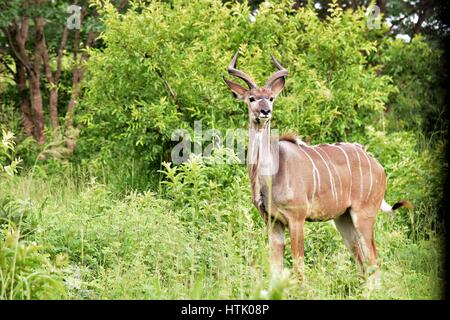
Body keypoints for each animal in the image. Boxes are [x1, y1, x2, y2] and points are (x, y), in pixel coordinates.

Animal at [221, 51, 412, 286]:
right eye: (251, 98)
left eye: (272, 98)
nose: (265, 111)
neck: (270, 173)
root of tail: (378, 166)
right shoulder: (272, 222)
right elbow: (276, 269)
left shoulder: (297, 219)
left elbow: (299, 267)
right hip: (343, 219)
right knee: (361, 261)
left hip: (364, 215)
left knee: (373, 260)